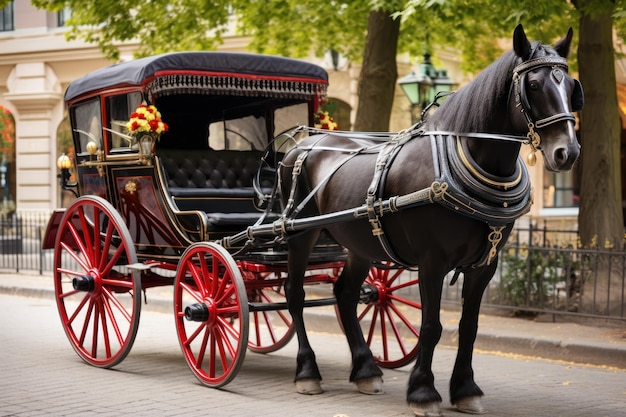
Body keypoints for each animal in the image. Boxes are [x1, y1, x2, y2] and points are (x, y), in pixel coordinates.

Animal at [278, 24, 580, 414]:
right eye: (533, 85)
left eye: (571, 86)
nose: (567, 152)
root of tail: (299, 146)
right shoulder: (432, 261)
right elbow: (431, 326)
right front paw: (423, 391)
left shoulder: (486, 264)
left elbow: (468, 327)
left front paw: (465, 388)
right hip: (300, 234)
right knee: (295, 293)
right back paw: (307, 371)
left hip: (359, 243)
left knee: (344, 293)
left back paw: (365, 370)